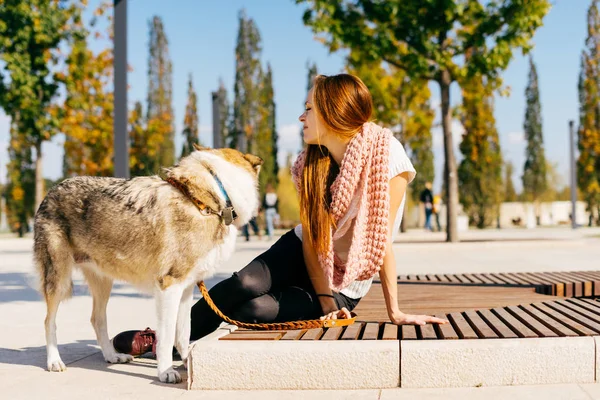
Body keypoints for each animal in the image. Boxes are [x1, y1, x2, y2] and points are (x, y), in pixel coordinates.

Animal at [33, 145, 262, 382]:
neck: (207, 197)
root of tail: (52, 190)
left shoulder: (186, 288)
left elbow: (184, 333)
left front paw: (187, 362)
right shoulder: (169, 286)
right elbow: (167, 336)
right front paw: (166, 372)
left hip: (104, 284)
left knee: (97, 319)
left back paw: (113, 356)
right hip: (59, 281)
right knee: (49, 321)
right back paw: (54, 362)